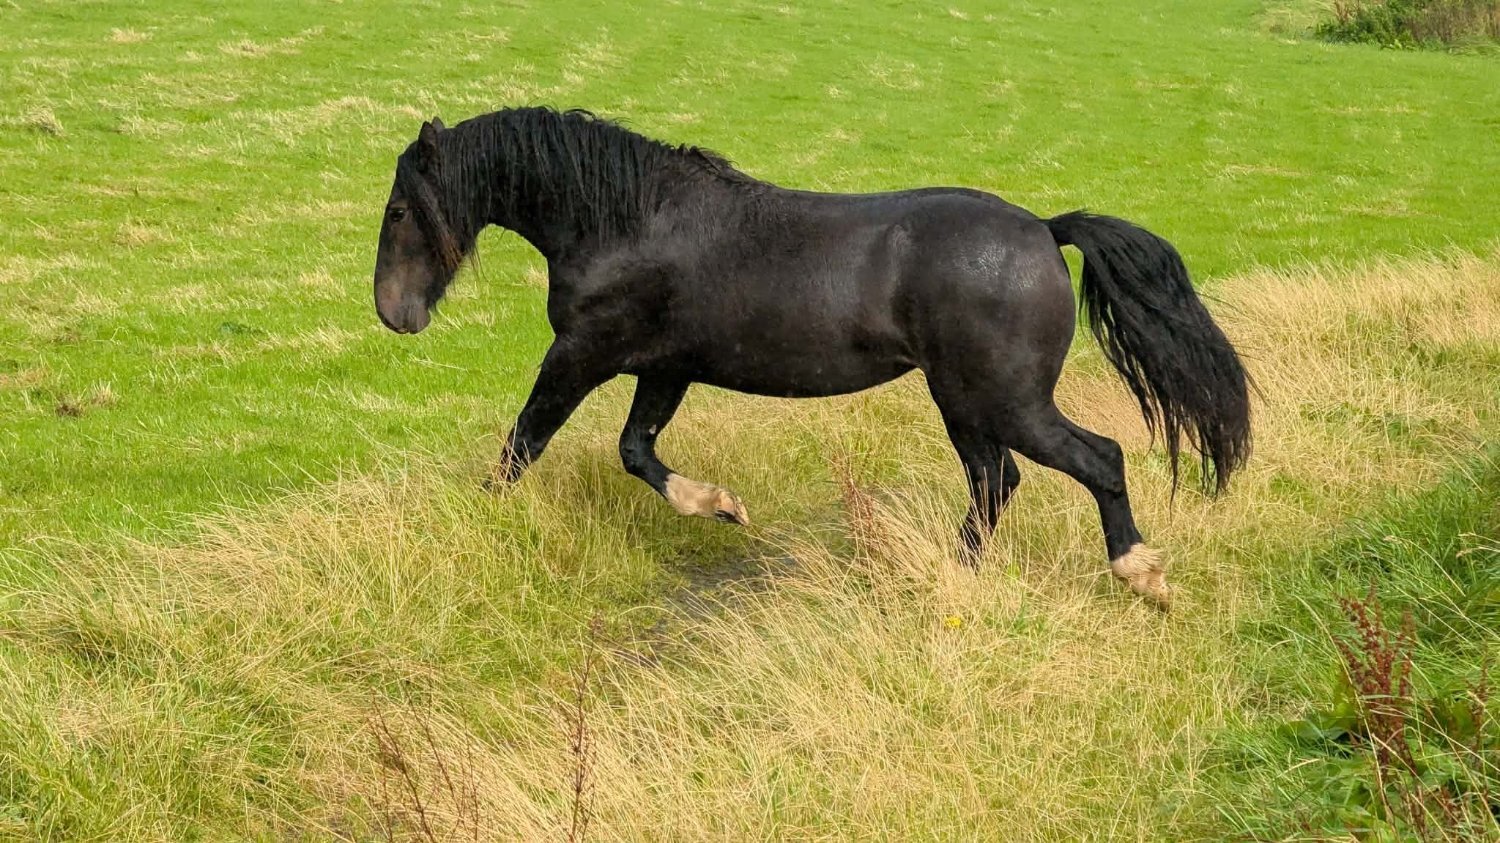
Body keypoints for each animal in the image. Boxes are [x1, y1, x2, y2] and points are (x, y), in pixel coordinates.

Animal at [372, 107, 1251, 610]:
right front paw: (722, 506)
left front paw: (479, 528)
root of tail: (1044, 228)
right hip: (965, 401)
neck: (629, 221)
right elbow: (635, 451)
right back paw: (947, 576)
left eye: (400, 208)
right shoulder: (665, 366)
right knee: (996, 479)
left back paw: (1141, 573)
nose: (393, 314)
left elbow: (523, 444)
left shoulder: (585, 353)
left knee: (1094, 459)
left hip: (1001, 398)